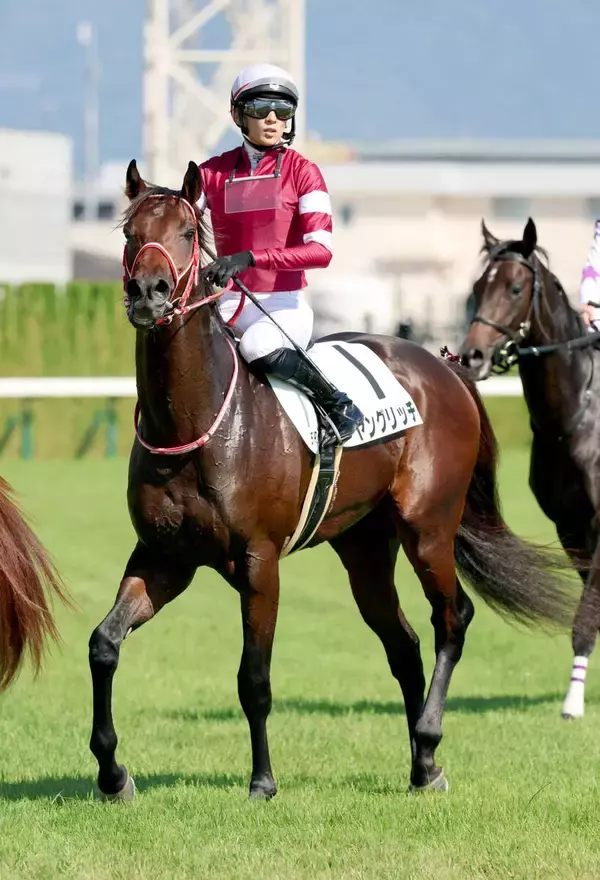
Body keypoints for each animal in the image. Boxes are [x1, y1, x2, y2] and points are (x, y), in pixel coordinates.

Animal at [87, 161, 576, 802]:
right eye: (128, 231)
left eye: (189, 232)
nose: (149, 292)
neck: (196, 420)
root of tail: (445, 367)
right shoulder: (163, 556)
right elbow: (104, 644)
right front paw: (112, 771)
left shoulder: (259, 561)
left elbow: (254, 677)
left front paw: (263, 781)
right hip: (364, 546)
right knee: (403, 644)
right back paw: (422, 764)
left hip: (428, 530)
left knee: (451, 620)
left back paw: (429, 740)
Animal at [459, 217, 600, 719]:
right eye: (477, 288)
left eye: (516, 287)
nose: (473, 356)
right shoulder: (570, 527)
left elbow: (587, 614)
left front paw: (573, 703)